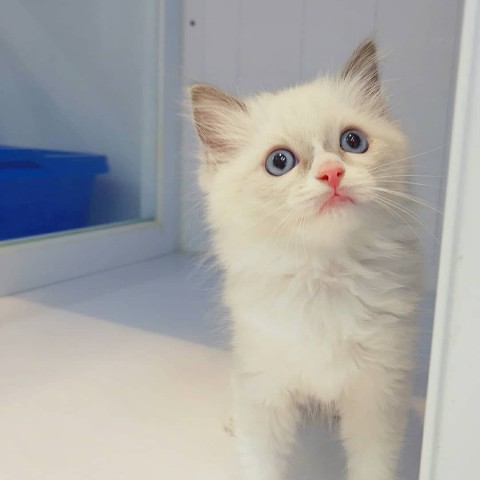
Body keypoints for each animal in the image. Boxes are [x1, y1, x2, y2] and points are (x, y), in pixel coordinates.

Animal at [189, 39, 422, 480]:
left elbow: (372, 464)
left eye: (353, 142)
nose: (332, 173)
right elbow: (260, 461)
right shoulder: (264, 390)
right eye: (279, 162)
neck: (324, 275)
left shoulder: (378, 394)